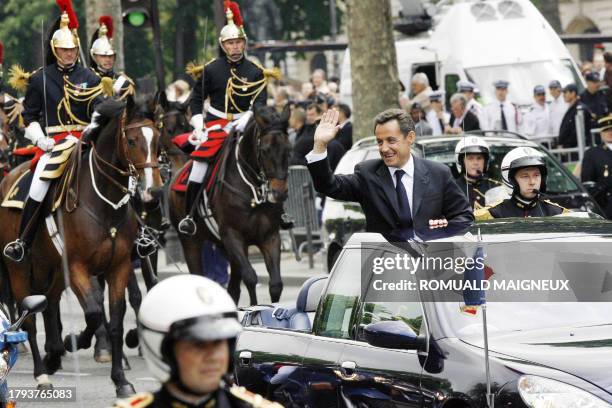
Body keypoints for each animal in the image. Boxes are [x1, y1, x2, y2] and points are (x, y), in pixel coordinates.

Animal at [0, 97, 163, 396]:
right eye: (131, 140)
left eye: (157, 140)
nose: (153, 193)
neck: (104, 203)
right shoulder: (77, 267)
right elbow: (95, 313)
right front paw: (76, 341)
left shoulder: (118, 266)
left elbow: (116, 318)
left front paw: (121, 380)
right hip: (18, 268)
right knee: (29, 317)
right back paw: (41, 372)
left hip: (49, 268)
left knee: (48, 303)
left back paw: (53, 356)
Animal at [169, 107, 290, 304]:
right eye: (264, 150)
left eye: (289, 150)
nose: (279, 193)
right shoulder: (232, 235)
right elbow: (250, 277)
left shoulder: (270, 237)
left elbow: (276, 285)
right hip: (191, 242)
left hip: (225, 248)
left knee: (233, 289)